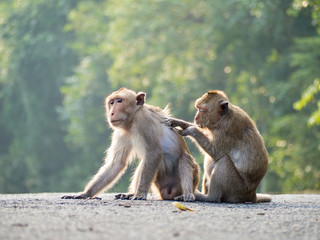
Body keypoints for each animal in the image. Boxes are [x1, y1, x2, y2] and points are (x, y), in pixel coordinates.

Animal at [61, 87, 199, 202]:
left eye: (119, 101)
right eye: (111, 102)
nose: (111, 113)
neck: (132, 120)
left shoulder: (143, 120)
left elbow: (154, 152)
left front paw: (140, 194)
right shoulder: (120, 133)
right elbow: (116, 163)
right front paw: (85, 194)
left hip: (190, 178)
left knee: (184, 159)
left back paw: (187, 194)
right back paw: (130, 194)